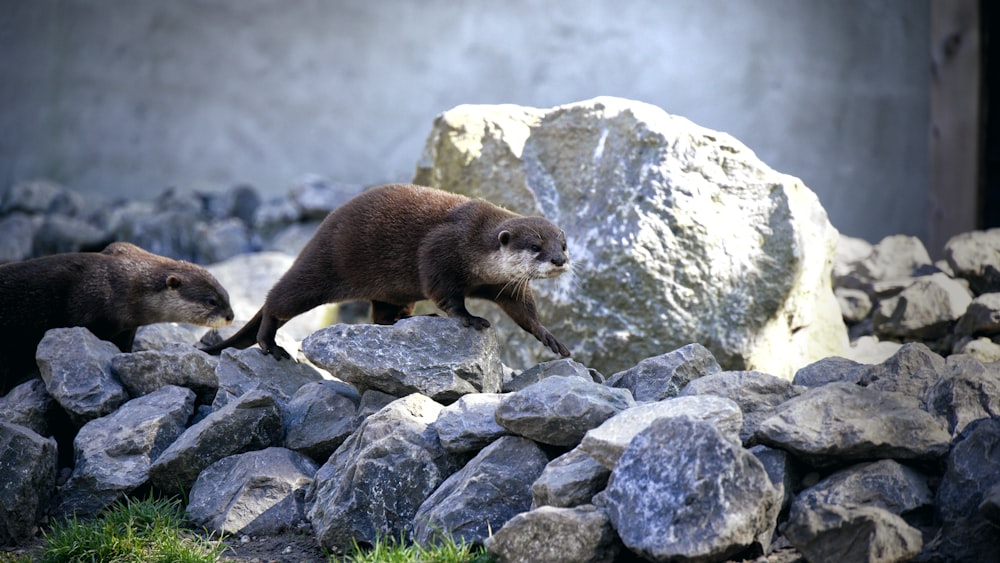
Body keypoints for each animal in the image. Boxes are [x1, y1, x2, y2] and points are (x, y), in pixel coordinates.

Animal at [203, 185, 576, 362]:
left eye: (563, 243)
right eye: (536, 246)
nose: (559, 260)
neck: (475, 242)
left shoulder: (501, 284)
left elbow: (522, 309)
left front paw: (548, 335)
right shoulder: (440, 249)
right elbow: (444, 292)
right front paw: (470, 318)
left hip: (390, 291)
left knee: (381, 314)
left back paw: (402, 321)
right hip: (322, 264)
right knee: (277, 300)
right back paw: (269, 342)